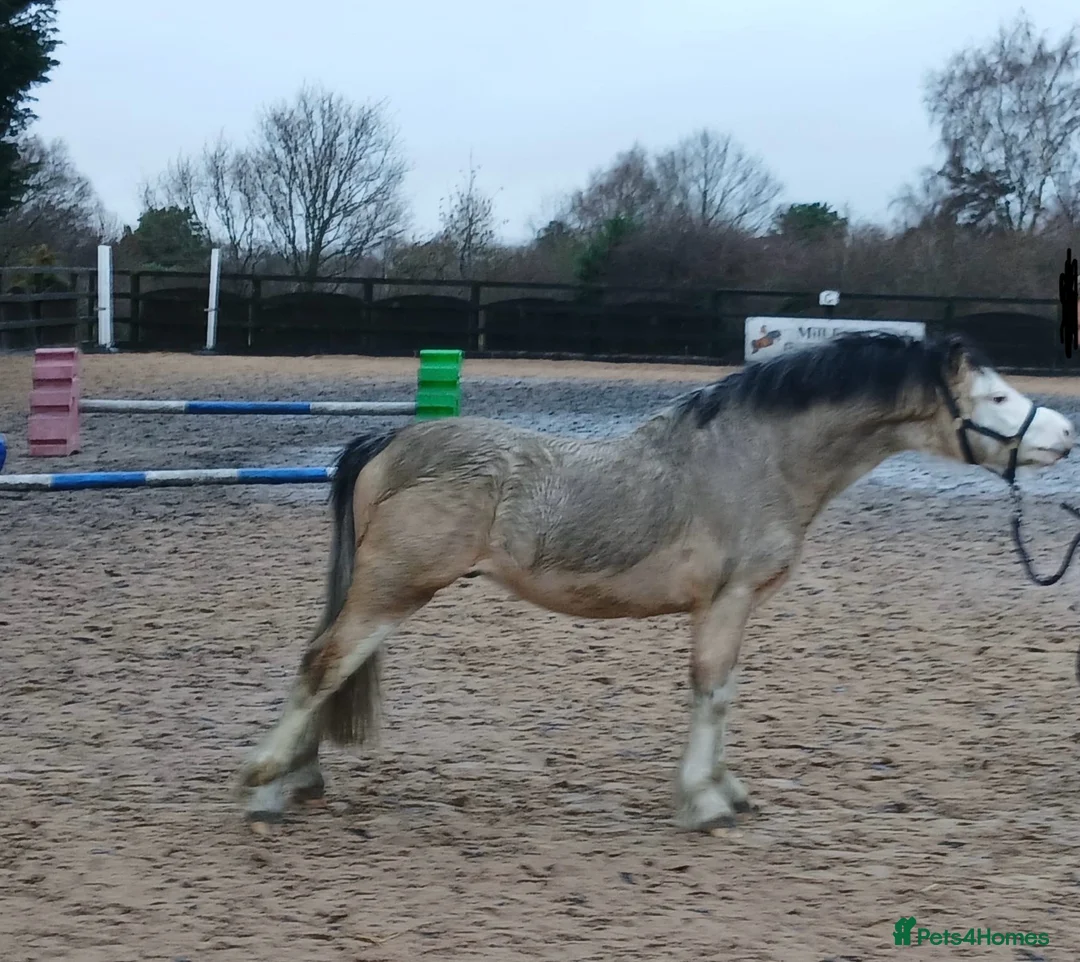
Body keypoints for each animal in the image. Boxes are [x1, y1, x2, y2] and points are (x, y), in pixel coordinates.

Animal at [236, 332, 1075, 835]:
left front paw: (724, 789)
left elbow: (724, 693)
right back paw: (264, 785)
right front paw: (704, 801)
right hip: (394, 588)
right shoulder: (726, 600)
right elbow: (710, 692)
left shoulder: (736, 606)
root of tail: (391, 437)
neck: (755, 457)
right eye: (998, 398)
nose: (1065, 435)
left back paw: (298, 778)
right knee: (323, 664)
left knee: (327, 662)